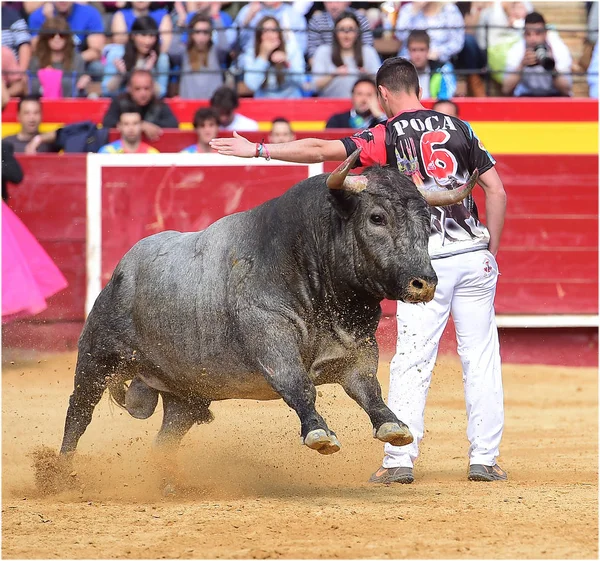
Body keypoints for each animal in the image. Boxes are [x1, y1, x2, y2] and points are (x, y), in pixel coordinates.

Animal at [57, 150, 478, 482]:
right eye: (376, 217)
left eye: (428, 221)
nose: (423, 283)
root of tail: (122, 269)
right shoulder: (271, 339)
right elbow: (299, 386)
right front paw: (319, 433)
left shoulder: (355, 350)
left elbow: (369, 390)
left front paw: (394, 426)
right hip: (97, 356)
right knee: (78, 412)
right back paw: (60, 475)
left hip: (185, 395)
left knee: (166, 438)